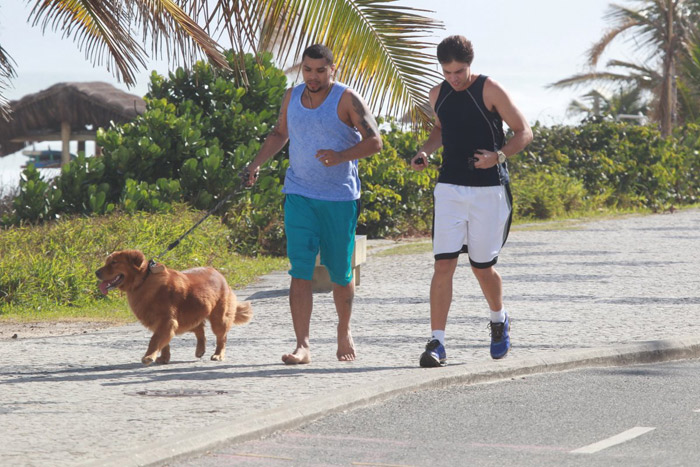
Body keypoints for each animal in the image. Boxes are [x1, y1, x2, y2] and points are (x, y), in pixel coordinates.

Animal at [95, 252, 252, 366]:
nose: (96, 272)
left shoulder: (166, 320)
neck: (143, 281)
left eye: (114, 262)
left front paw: (149, 356)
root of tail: (219, 274)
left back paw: (218, 354)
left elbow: (155, 340)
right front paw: (164, 358)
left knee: (221, 337)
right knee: (200, 330)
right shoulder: (161, 323)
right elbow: (164, 343)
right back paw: (200, 350)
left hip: (219, 318)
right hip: (191, 315)